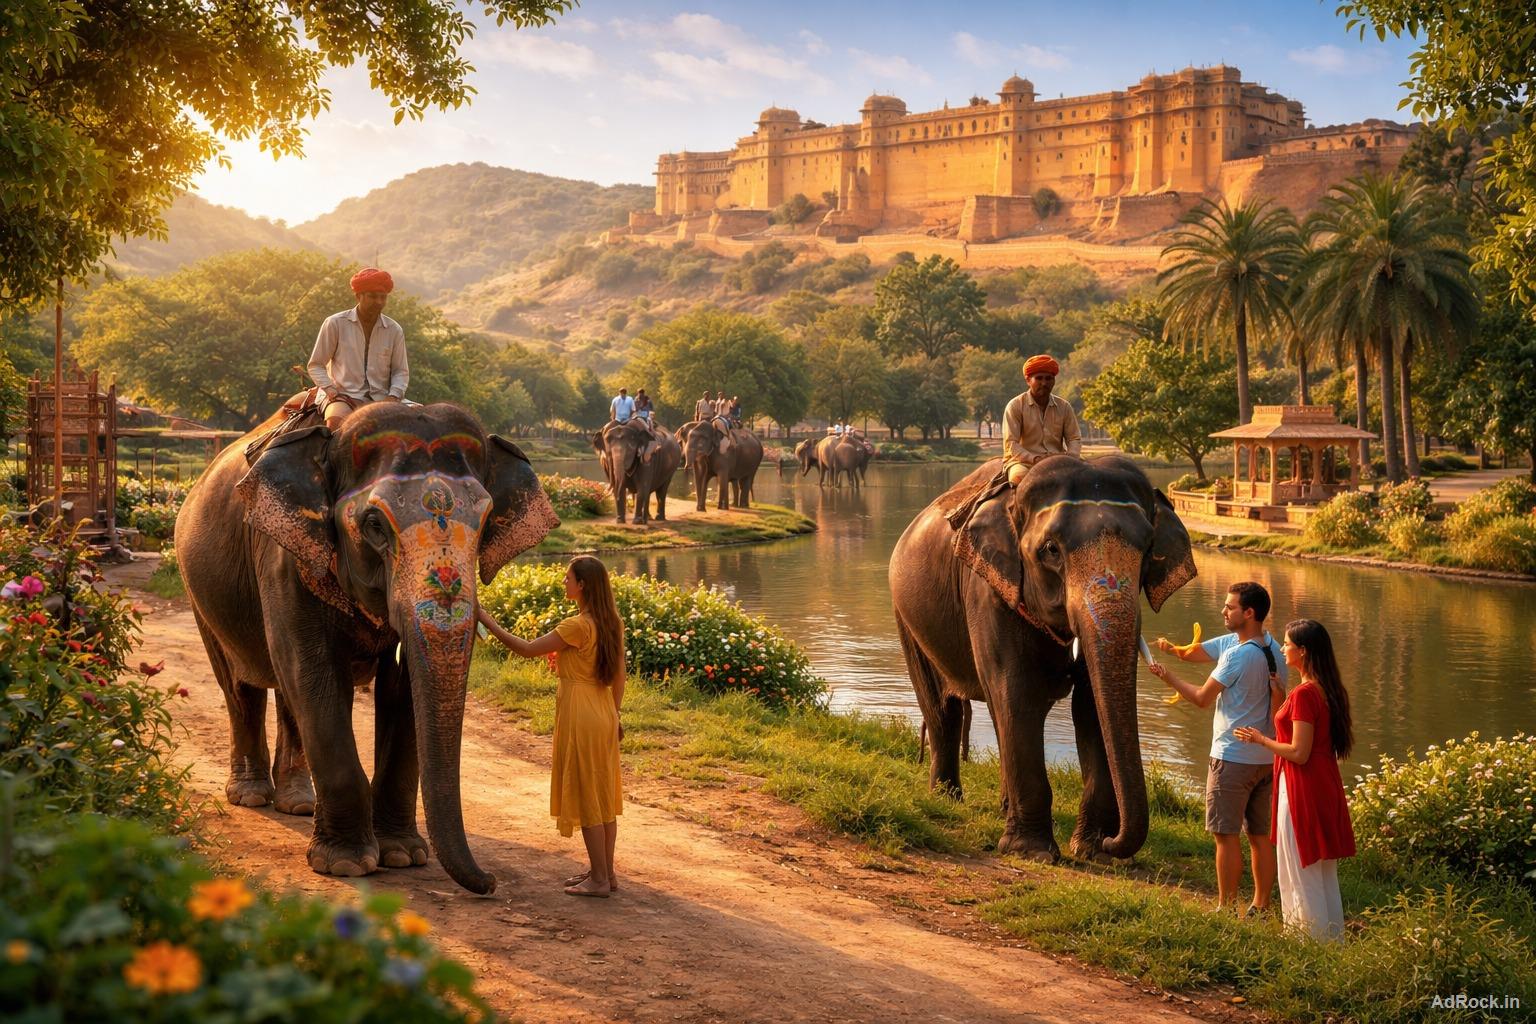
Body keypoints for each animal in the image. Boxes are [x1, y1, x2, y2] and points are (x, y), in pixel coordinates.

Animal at [175, 402, 559, 894]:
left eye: (485, 523)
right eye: (374, 525)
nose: (490, 882)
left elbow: (402, 690)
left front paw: (403, 855)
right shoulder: (283, 556)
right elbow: (313, 675)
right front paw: (345, 864)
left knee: (286, 695)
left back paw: (297, 803)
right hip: (197, 589)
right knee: (240, 686)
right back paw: (250, 795)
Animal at [889, 455, 1196, 863]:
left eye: (1148, 550)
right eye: (1051, 550)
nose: (1115, 843)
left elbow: (1092, 706)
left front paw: (1093, 852)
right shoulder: (988, 592)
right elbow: (1016, 692)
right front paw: (1032, 852)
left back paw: (1001, 807)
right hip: (907, 617)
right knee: (942, 709)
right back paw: (946, 799)